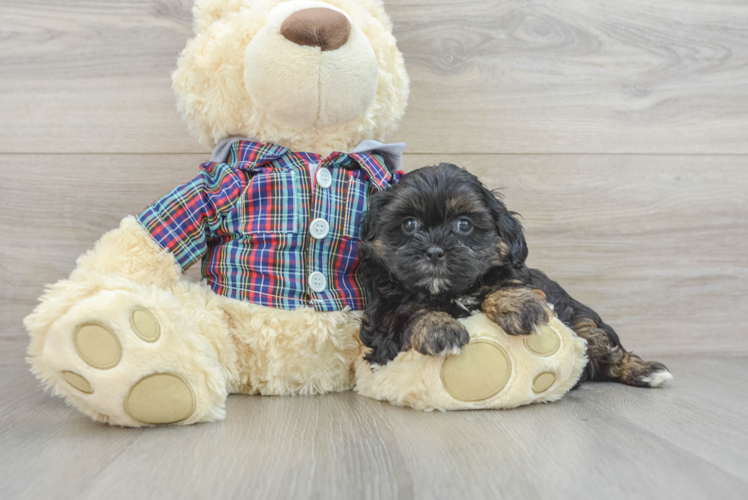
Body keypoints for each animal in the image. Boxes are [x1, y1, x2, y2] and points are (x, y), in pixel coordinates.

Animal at [356, 162, 672, 388]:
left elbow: (507, 281)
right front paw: (439, 327)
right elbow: (407, 313)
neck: (450, 291)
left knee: (602, 342)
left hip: (583, 322)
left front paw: (518, 305)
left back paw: (646, 371)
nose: (434, 251)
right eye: (409, 224)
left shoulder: (519, 276)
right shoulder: (381, 321)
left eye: (464, 224)